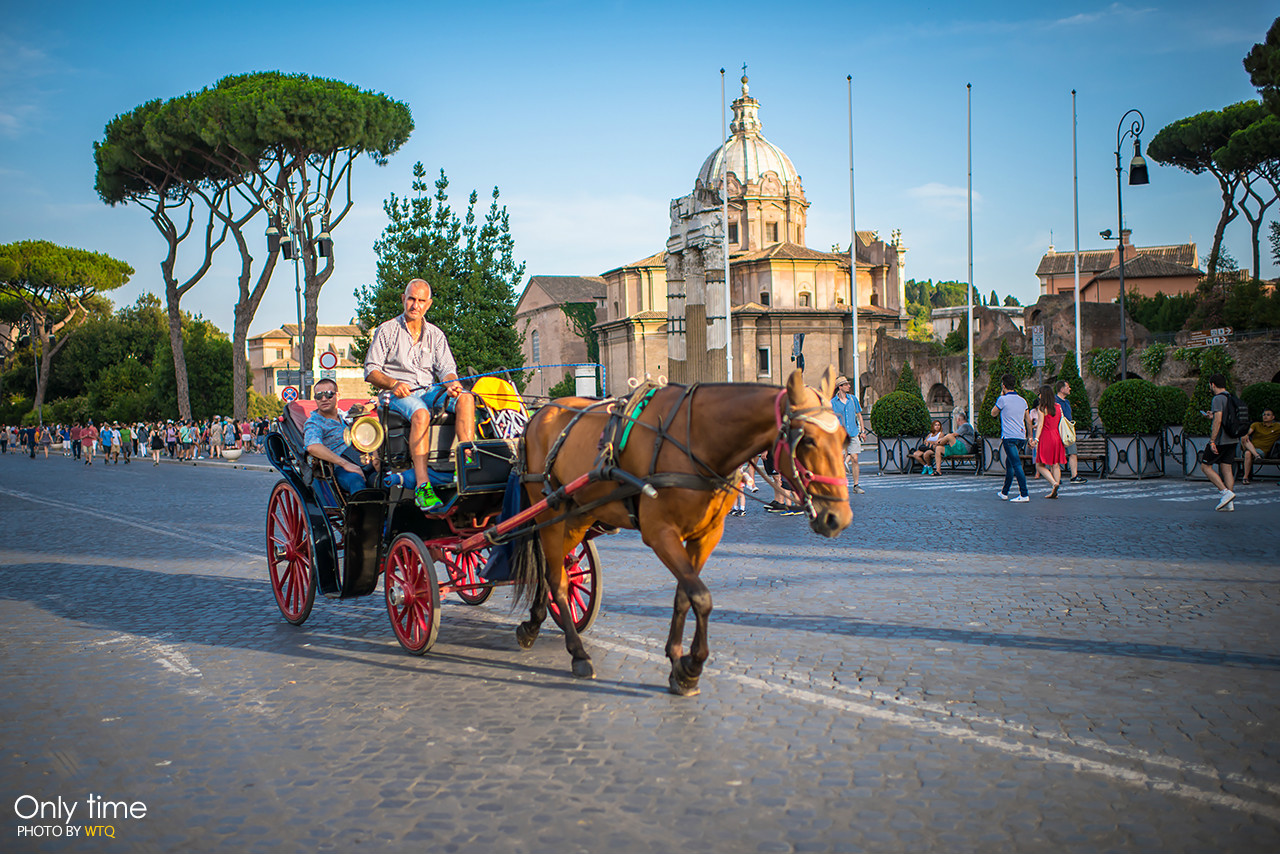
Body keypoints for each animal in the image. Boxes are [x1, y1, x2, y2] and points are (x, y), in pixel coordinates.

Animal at [506, 366, 849, 696]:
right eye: (807, 440)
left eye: (845, 439)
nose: (839, 519)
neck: (696, 440)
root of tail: (539, 413)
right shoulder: (660, 533)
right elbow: (701, 596)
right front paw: (692, 666)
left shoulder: (706, 535)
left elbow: (685, 595)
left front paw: (676, 662)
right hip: (549, 511)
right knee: (556, 578)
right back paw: (577, 653)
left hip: (577, 515)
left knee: (553, 569)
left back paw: (533, 624)